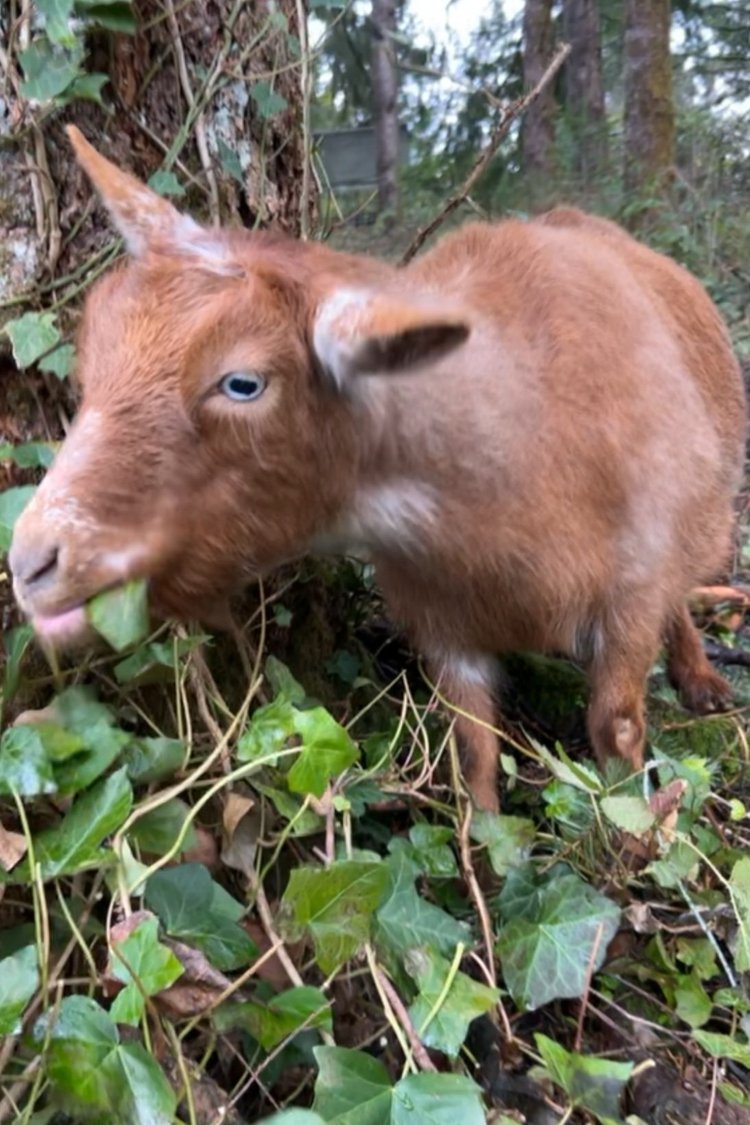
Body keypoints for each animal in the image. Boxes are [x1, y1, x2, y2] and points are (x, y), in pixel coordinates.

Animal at [10, 127, 747, 811]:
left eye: (243, 382)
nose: (31, 563)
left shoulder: (632, 588)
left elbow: (616, 730)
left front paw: (632, 835)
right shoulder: (440, 621)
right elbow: (473, 750)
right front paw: (484, 838)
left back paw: (702, 680)